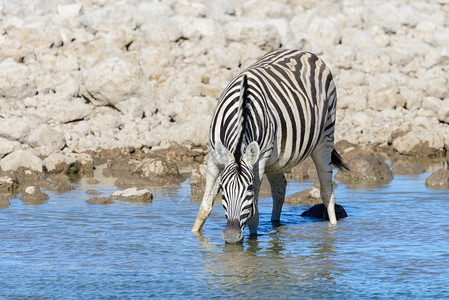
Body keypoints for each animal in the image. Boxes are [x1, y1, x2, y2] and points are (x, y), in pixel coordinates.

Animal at [191, 49, 348, 244]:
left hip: (325, 139)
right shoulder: (214, 159)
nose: (231, 235)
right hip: (276, 159)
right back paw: (275, 224)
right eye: (222, 188)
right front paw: (195, 234)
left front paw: (252, 243)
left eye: (249, 188)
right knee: (280, 188)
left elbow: (254, 214)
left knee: (327, 193)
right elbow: (204, 207)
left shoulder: (258, 163)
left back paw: (332, 230)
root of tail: (305, 52)